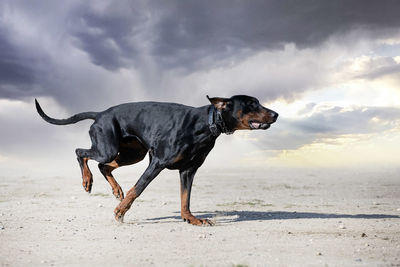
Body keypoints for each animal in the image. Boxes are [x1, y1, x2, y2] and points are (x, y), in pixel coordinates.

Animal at [35, 95, 278, 225]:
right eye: (251, 104)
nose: (276, 114)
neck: (206, 123)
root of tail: (101, 113)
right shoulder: (157, 162)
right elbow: (137, 189)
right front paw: (120, 212)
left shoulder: (188, 170)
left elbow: (185, 198)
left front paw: (191, 219)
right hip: (108, 147)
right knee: (81, 152)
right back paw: (87, 181)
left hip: (133, 154)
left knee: (104, 166)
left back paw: (116, 190)